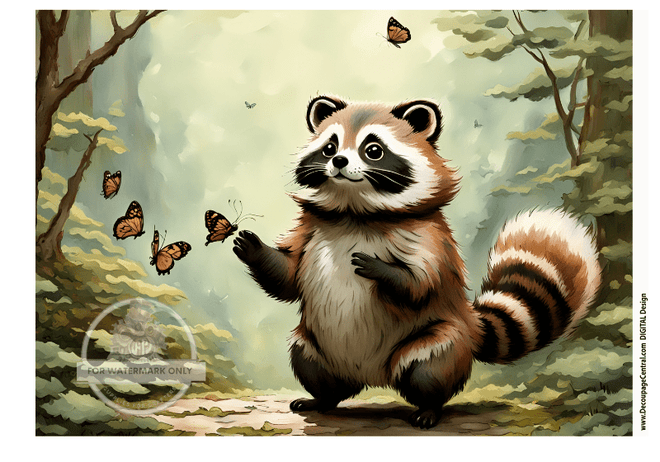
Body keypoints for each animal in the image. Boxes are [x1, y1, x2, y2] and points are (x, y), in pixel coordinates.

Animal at [233, 95, 601, 428]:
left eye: (373, 150)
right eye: (329, 147)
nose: (337, 161)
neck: (355, 210)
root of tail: (371, 377)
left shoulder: (429, 240)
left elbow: (419, 287)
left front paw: (382, 270)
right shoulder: (309, 231)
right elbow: (288, 277)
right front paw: (254, 248)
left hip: (439, 339)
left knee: (429, 369)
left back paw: (429, 408)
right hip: (317, 345)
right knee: (308, 360)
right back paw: (323, 398)